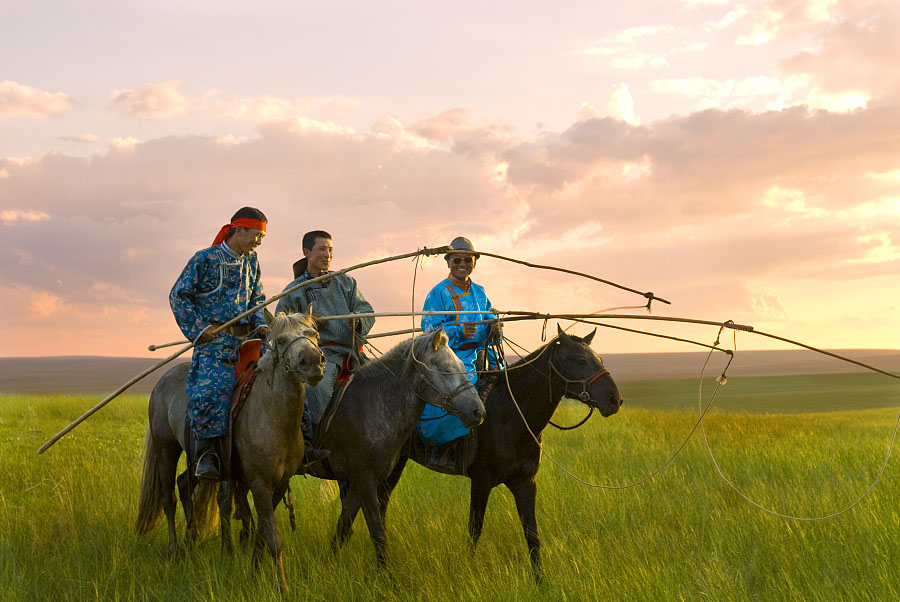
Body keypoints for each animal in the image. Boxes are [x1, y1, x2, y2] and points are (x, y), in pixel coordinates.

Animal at [135, 310, 326, 592]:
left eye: (315, 335)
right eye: (280, 341)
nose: (313, 362)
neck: (272, 416)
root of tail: (163, 379)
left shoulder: (279, 484)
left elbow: (261, 532)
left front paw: (253, 573)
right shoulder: (259, 483)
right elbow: (273, 537)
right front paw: (281, 586)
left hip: (197, 462)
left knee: (184, 485)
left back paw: (192, 539)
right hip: (166, 450)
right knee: (168, 499)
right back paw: (174, 550)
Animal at [356, 326, 624, 580]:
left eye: (600, 358)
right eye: (580, 360)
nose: (615, 400)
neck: (514, 414)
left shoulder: (525, 483)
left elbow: (532, 535)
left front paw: (540, 581)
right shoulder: (481, 482)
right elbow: (475, 530)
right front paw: (468, 569)